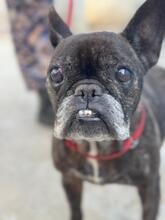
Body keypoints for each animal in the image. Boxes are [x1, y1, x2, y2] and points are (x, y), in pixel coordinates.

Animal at [45, 0, 165, 219]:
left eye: (123, 73)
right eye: (56, 74)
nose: (86, 89)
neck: (96, 145)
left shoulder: (150, 186)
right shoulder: (70, 179)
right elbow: (76, 209)